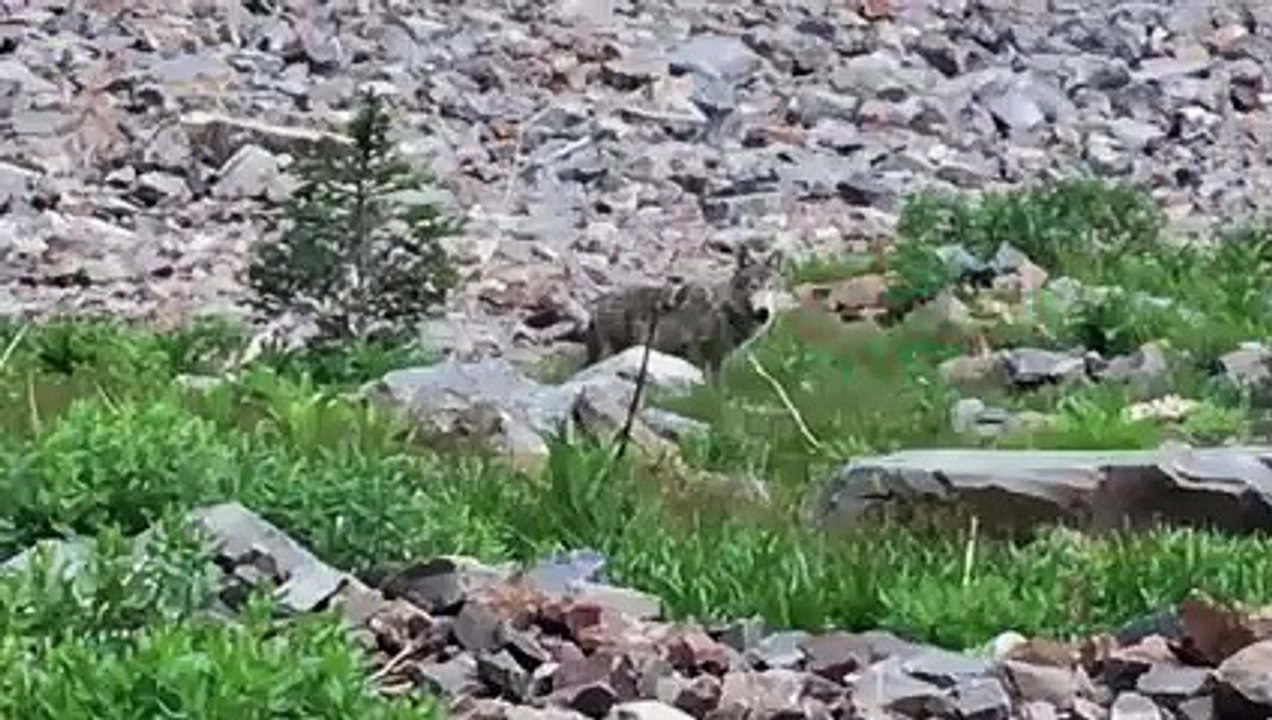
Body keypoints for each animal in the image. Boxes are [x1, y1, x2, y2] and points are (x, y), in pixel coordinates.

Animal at [581, 248, 785, 378]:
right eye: (753, 287)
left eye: (771, 287)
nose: (764, 312)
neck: (724, 311)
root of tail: (597, 305)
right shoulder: (696, 354)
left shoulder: (717, 361)